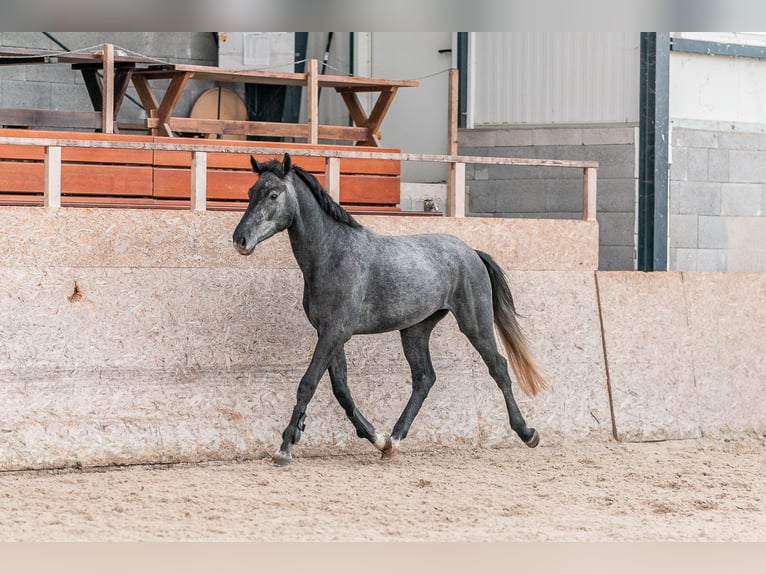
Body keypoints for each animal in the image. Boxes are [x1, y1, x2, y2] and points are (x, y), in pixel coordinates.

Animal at [232, 153, 544, 468]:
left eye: (273, 194)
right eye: (250, 192)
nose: (240, 240)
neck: (333, 254)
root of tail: (471, 252)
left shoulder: (335, 333)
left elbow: (308, 384)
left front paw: (284, 449)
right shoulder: (330, 333)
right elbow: (341, 389)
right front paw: (375, 438)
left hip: (475, 324)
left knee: (498, 367)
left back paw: (527, 433)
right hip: (415, 330)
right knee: (424, 378)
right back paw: (393, 440)